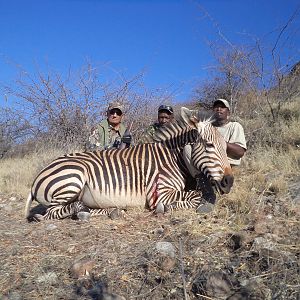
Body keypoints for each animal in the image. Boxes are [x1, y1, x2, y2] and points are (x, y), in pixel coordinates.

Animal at [24, 107, 233, 220]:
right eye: (209, 145)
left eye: (226, 147)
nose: (228, 182)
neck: (173, 158)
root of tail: (37, 178)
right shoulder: (159, 193)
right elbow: (195, 196)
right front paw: (166, 208)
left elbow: (196, 194)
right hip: (73, 179)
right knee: (52, 213)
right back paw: (84, 211)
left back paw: (111, 211)